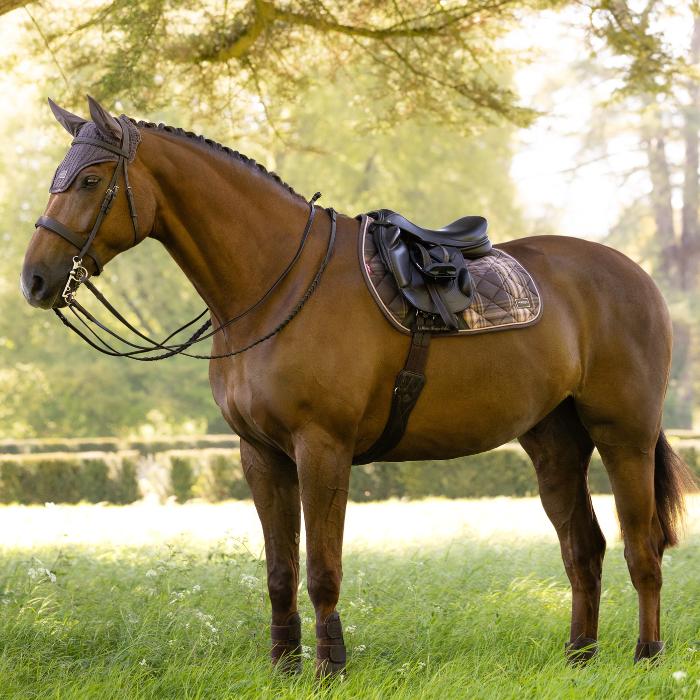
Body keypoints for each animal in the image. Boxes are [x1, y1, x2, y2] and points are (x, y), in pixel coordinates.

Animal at [20, 96, 696, 676]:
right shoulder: (259, 456)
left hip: (624, 436)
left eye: (89, 180)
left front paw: (330, 666)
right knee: (585, 549)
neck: (275, 284)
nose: (34, 279)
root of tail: (635, 274)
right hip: (555, 444)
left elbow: (322, 569)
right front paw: (283, 666)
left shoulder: (322, 448)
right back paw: (580, 657)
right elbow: (279, 571)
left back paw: (647, 656)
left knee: (642, 547)